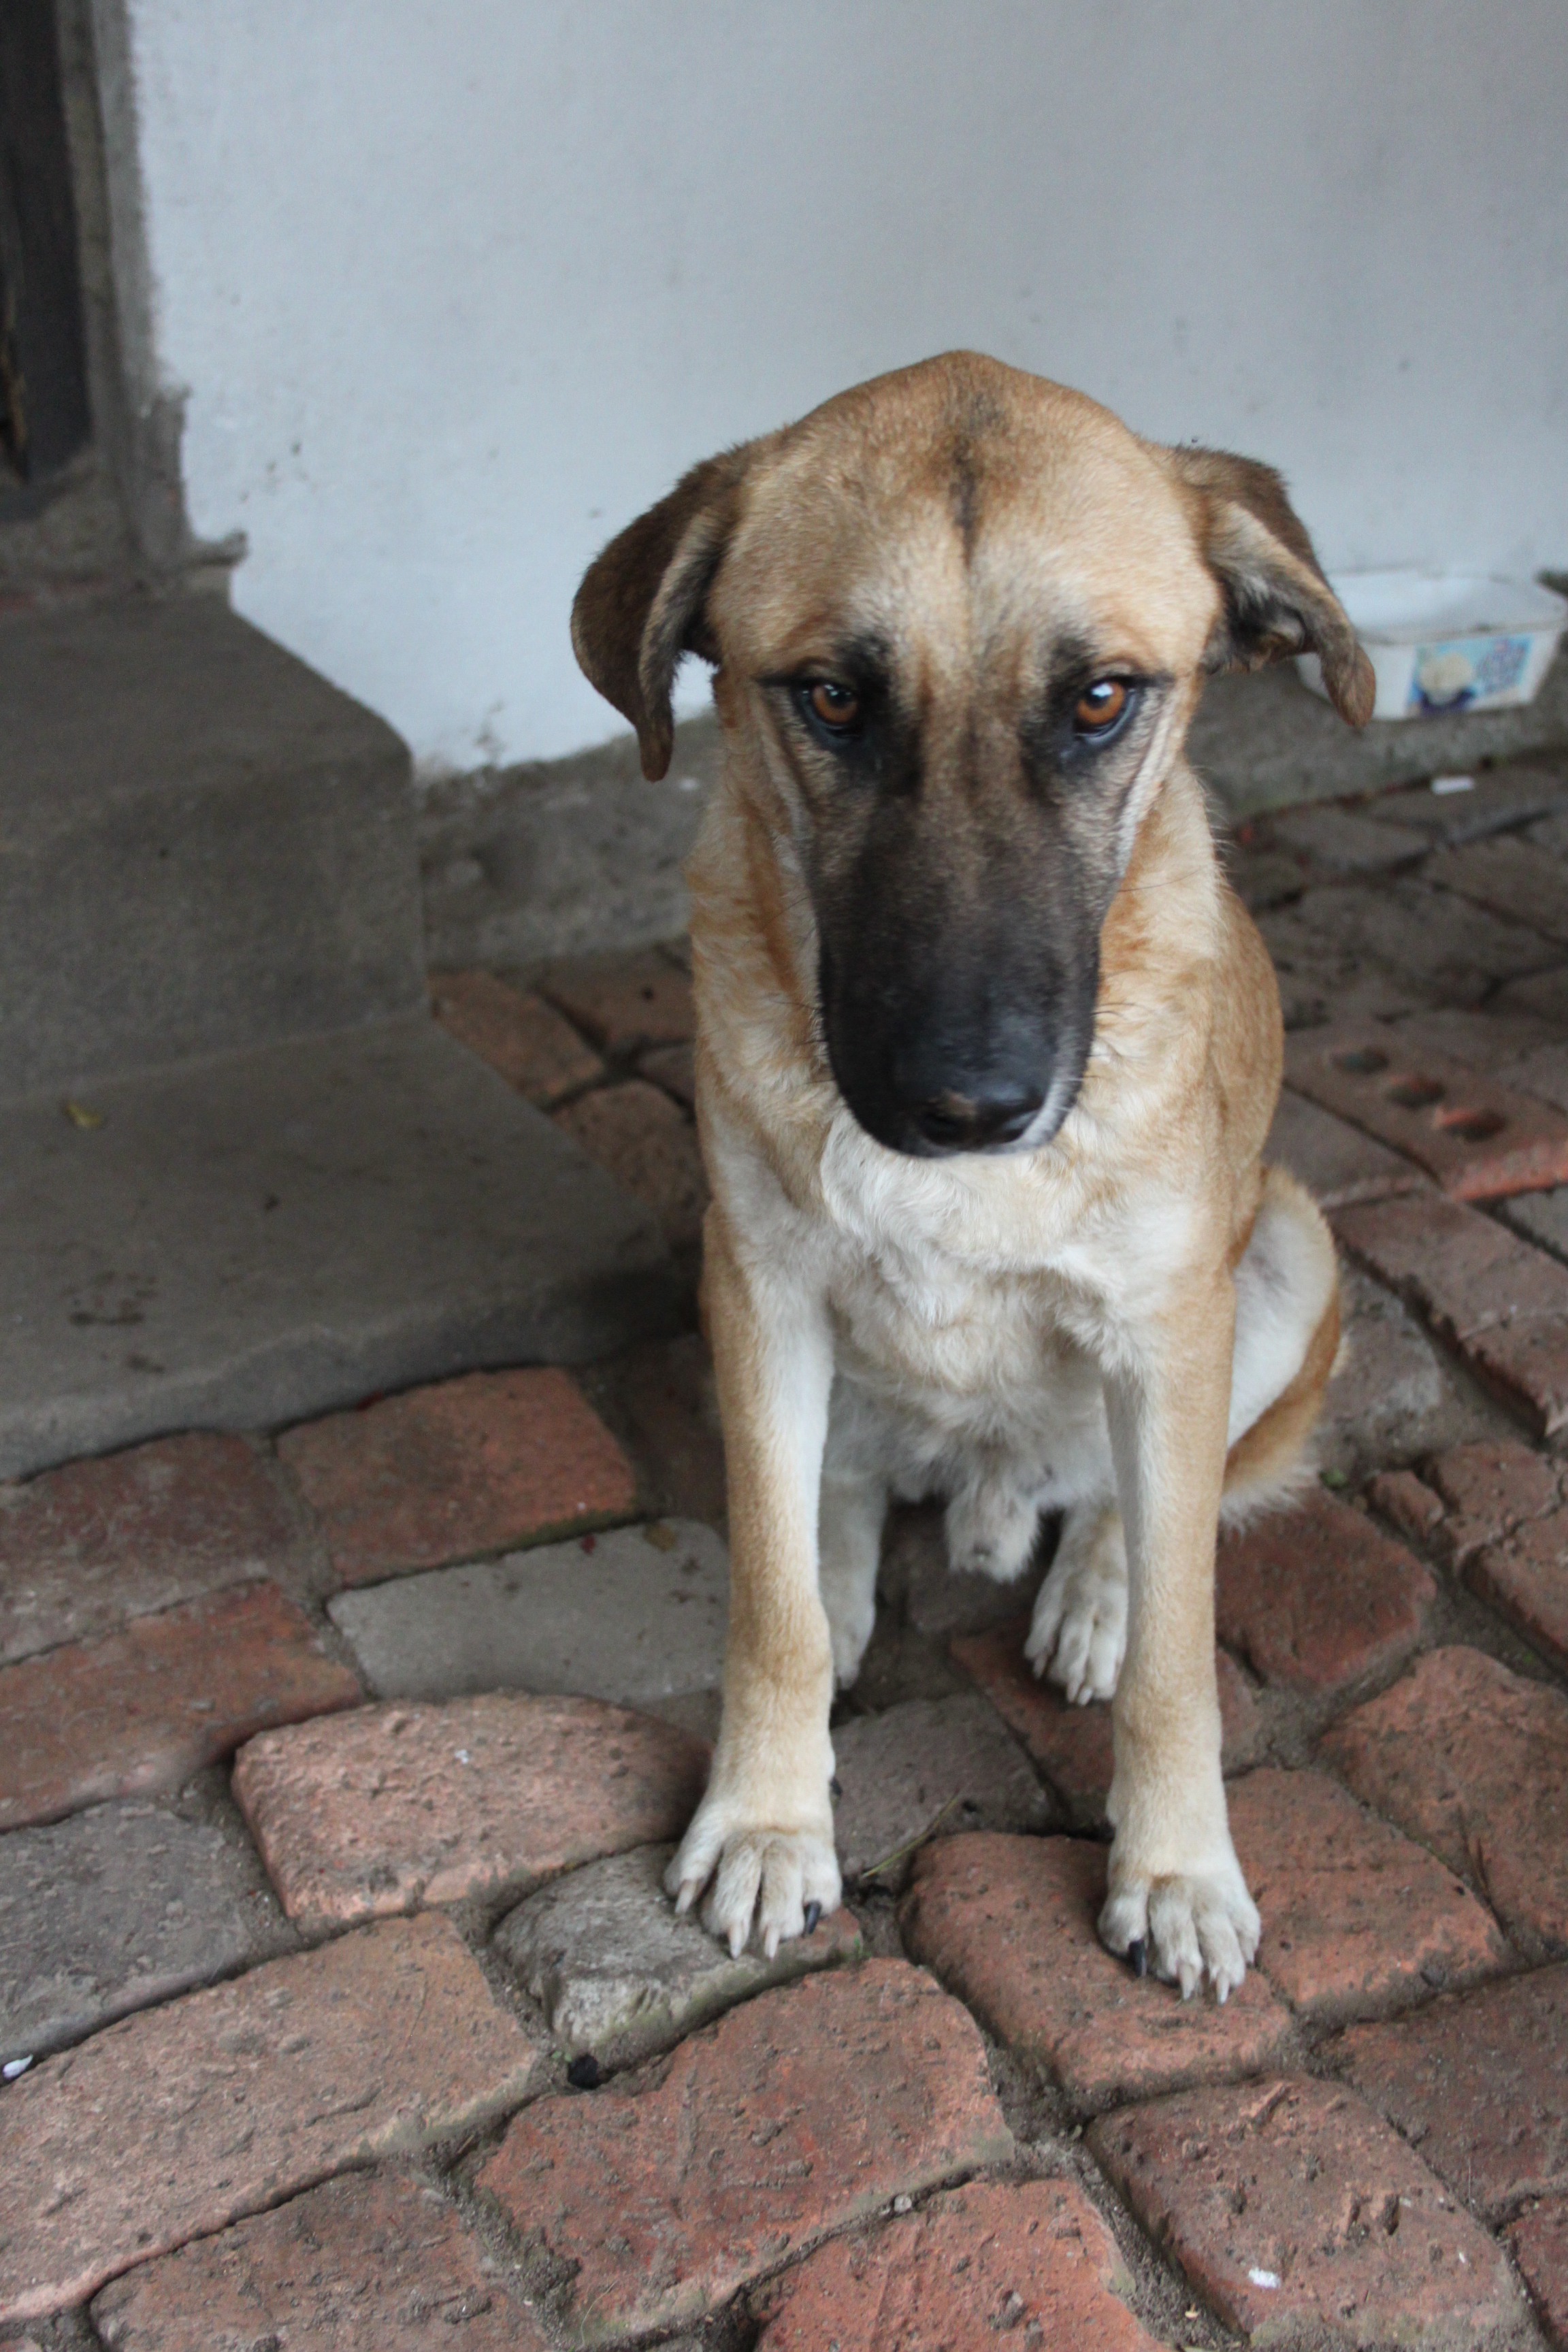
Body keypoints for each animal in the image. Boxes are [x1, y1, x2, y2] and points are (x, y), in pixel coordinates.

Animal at [571, 352, 1371, 1999]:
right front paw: (767, 1814)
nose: (967, 1106)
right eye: (829, 696)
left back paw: (1089, 1592)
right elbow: (767, 1603)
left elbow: (1183, 1650)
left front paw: (1173, 1864)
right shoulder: (759, 1291)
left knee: (1139, 1508)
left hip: (1284, 1258)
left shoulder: (1170, 1323)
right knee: (843, 1496)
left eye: (1100, 699)